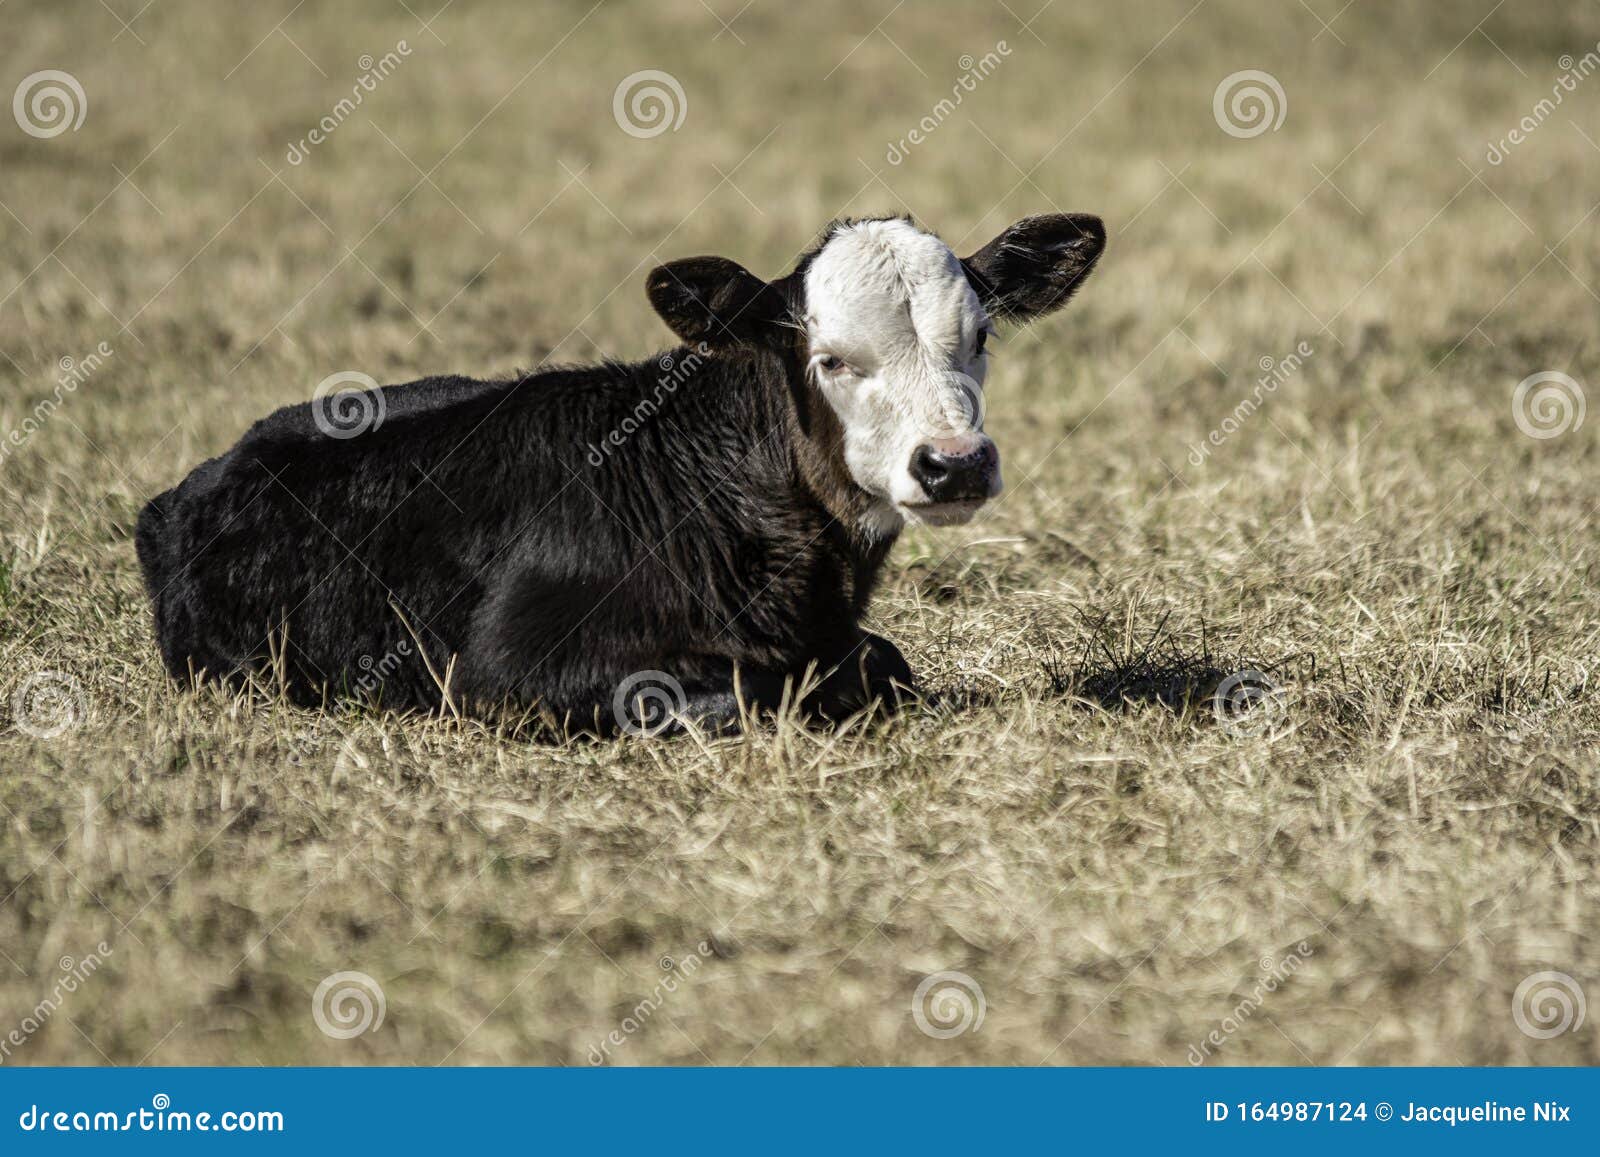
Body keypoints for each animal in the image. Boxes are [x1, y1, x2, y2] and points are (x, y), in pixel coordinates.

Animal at [134, 212, 1105, 735]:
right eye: (830, 358)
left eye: (980, 338)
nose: (954, 463)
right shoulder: (505, 671)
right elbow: (745, 692)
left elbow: (883, 663)